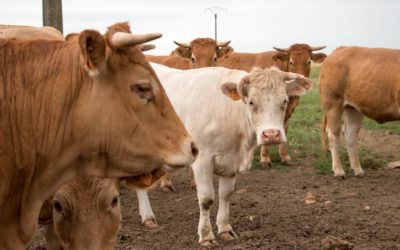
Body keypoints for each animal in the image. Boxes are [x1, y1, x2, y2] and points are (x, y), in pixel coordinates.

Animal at [134, 63, 312, 246]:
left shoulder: (231, 162)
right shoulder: (202, 160)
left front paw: (225, 229)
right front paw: (206, 236)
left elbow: (226, 195)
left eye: (284, 101)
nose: (271, 134)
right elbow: (206, 199)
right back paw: (148, 216)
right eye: (251, 102)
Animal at [318, 46, 400, 177]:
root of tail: (341, 48)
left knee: (350, 134)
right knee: (333, 134)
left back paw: (357, 169)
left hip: (354, 108)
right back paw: (338, 170)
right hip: (332, 103)